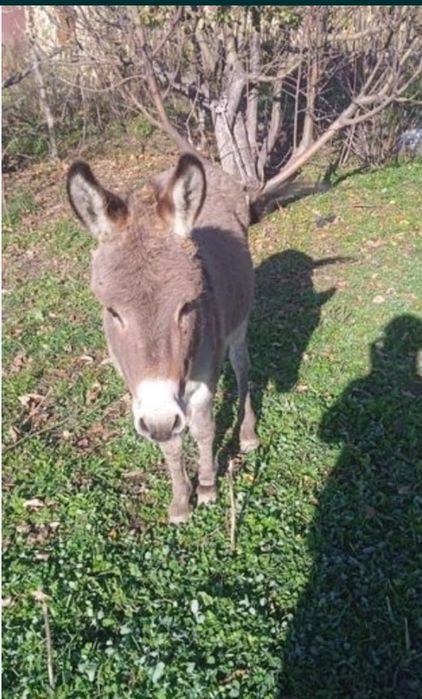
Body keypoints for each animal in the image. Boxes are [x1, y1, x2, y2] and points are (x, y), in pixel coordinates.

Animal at [67, 153, 259, 523]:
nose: (160, 418)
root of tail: (212, 168)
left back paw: (248, 433)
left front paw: (208, 487)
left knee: (242, 367)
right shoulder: (145, 397)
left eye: (187, 306)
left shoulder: (200, 382)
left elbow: (203, 429)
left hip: (240, 323)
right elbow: (169, 444)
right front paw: (181, 501)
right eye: (113, 312)